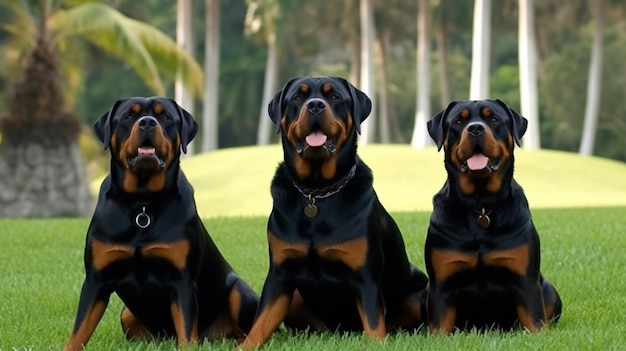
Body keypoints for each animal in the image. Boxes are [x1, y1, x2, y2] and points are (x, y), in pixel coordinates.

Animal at [64, 97, 258, 351]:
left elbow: (187, 332)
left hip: (239, 292)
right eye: (129, 116)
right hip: (127, 314)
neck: (142, 203)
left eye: (165, 116)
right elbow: (78, 331)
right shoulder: (96, 280)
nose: (147, 122)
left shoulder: (182, 281)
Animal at [238, 76, 424, 350]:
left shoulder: (366, 276)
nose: (315, 105)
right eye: (298, 96)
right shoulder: (280, 274)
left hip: (418, 294)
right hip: (296, 297)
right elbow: (261, 322)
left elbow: (374, 323)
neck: (316, 191)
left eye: (334, 96)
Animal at [424, 98, 560, 332]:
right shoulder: (440, 285)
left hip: (549, 289)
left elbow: (535, 322)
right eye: (458, 121)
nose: (475, 128)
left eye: (494, 119)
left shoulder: (527, 281)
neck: (481, 207)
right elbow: (439, 327)